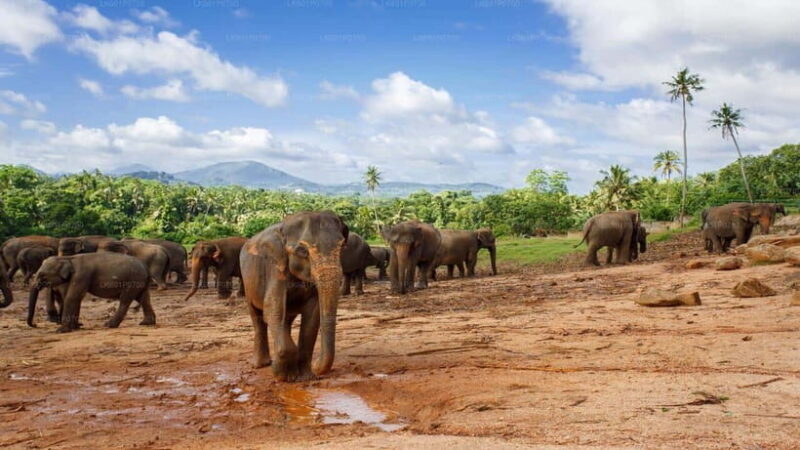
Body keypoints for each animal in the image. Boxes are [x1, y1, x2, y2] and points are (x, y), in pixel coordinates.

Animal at [240, 211, 348, 382]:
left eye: (342, 246)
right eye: (302, 251)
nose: (317, 366)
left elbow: (312, 315)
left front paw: (306, 377)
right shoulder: (275, 267)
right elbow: (272, 309)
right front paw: (284, 376)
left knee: (286, 320)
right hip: (247, 283)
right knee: (258, 318)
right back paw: (261, 364)